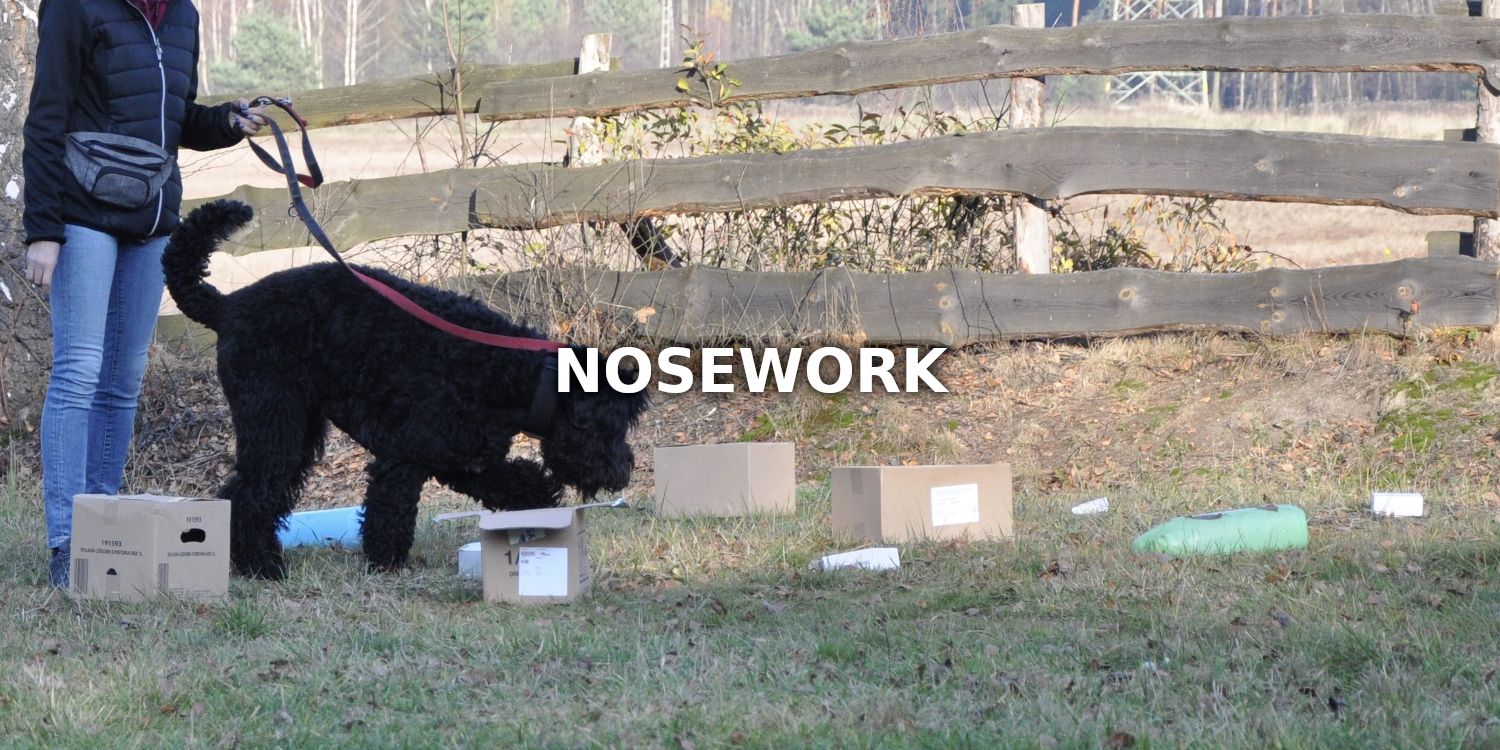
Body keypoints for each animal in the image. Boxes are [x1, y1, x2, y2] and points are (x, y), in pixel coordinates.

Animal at [162, 200, 649, 579]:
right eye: (614, 425)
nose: (623, 471)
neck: (516, 376)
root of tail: (227, 306)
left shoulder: (465, 458)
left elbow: (515, 480)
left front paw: (539, 505)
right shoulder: (404, 456)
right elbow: (390, 511)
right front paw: (386, 563)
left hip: (296, 430)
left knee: (248, 493)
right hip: (273, 423)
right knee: (250, 493)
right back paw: (259, 566)